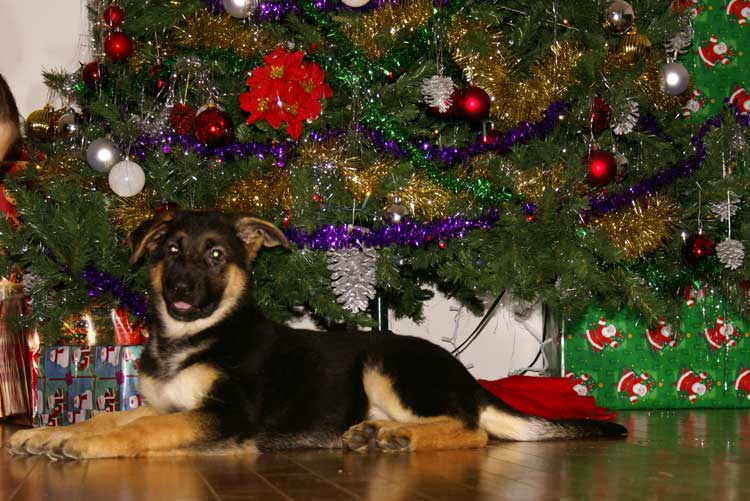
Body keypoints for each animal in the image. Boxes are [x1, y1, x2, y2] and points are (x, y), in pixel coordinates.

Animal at [7, 209, 628, 458]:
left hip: (385, 363)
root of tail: (471, 382)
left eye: (216, 256)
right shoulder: (168, 405)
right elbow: (112, 417)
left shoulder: (225, 416)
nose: (181, 291)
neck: (193, 338)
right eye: (171, 252)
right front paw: (43, 433)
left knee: (471, 431)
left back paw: (397, 437)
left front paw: (77, 445)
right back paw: (377, 434)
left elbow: (137, 432)